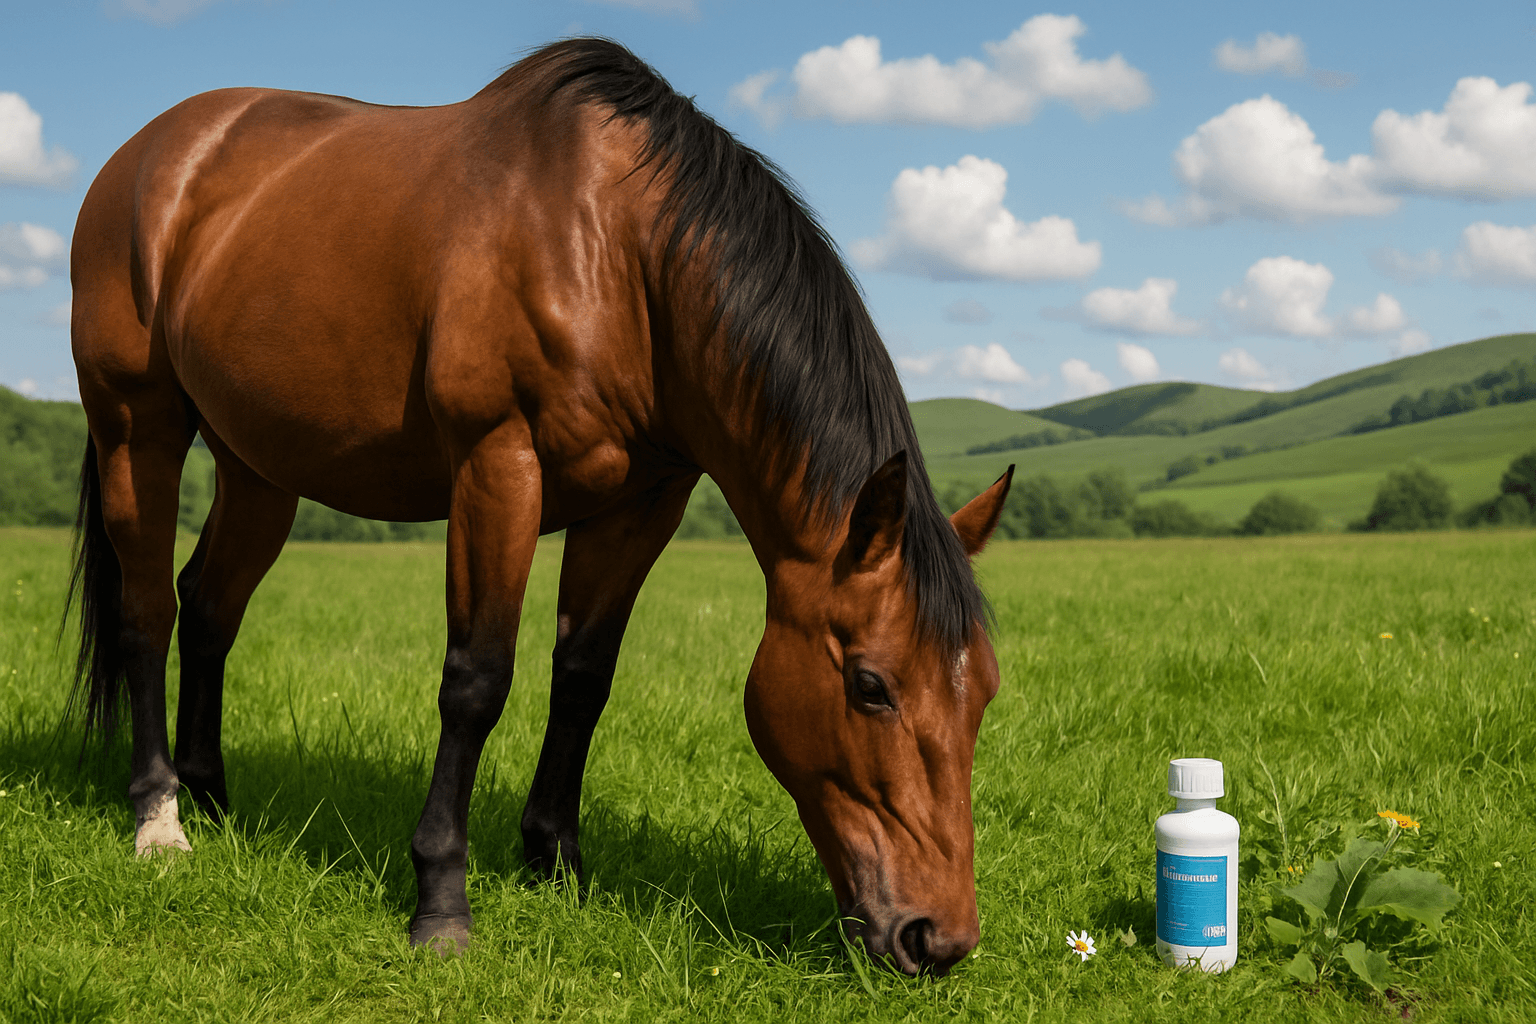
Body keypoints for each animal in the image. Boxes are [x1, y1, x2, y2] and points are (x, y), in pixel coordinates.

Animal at [65, 38, 1013, 977]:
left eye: (986, 693)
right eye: (869, 686)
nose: (937, 938)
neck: (620, 258)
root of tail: (151, 155)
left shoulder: (642, 503)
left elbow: (584, 677)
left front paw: (556, 862)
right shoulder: (498, 467)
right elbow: (477, 681)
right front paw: (441, 903)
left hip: (259, 468)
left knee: (209, 604)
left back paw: (212, 797)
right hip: (137, 431)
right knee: (147, 613)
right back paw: (160, 817)